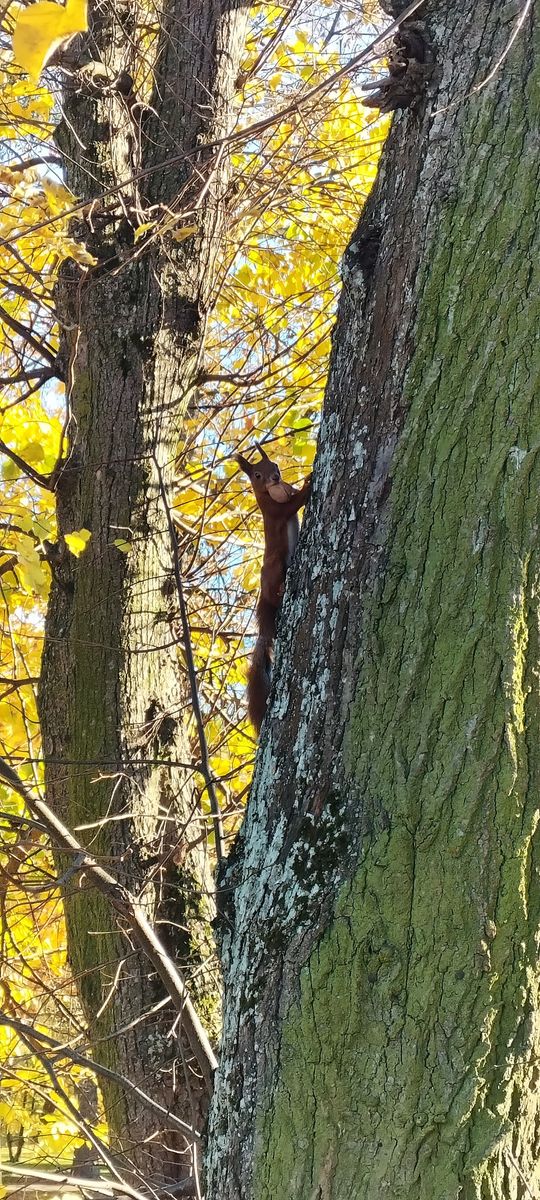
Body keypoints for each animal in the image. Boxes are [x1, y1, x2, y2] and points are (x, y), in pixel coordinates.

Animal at [236, 441, 312, 729]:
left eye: (275, 465)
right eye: (257, 475)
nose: (275, 478)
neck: (275, 492)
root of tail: (264, 602)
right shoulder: (274, 511)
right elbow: (292, 505)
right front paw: (308, 485)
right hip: (274, 565)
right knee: (275, 588)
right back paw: (280, 590)